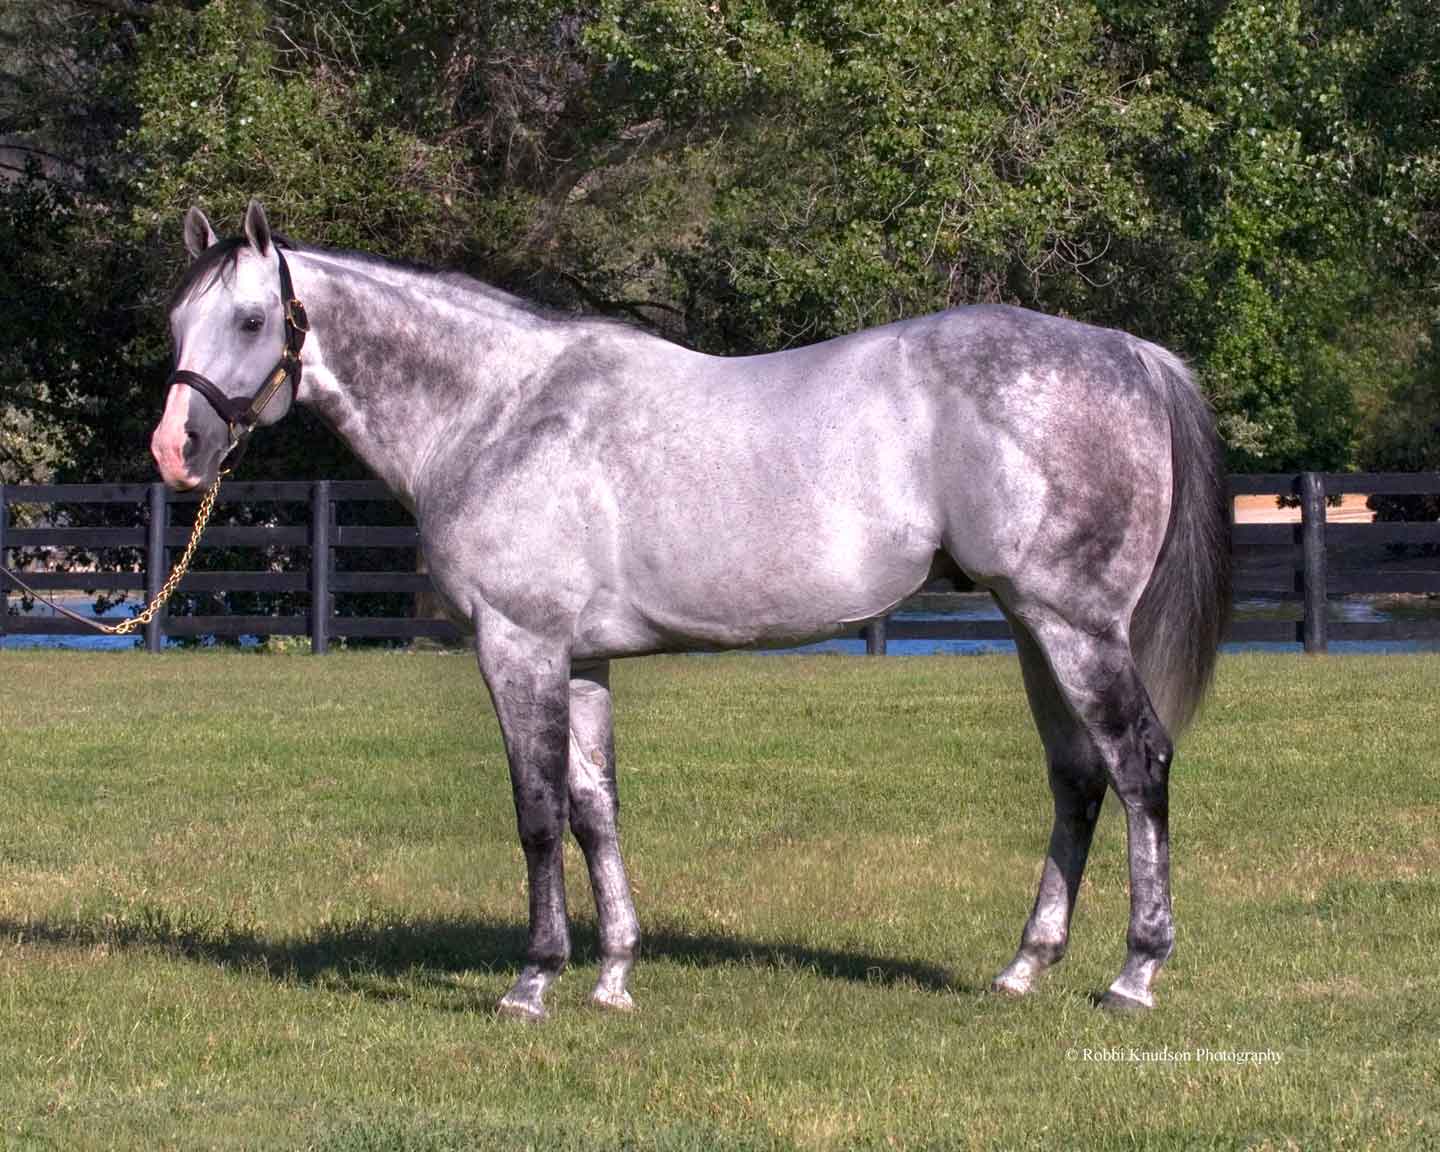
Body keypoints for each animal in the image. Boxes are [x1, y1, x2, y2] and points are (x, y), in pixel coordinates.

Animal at [150, 200, 1230, 1019]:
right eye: (175, 324)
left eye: (251, 321)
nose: (175, 450)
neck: (499, 410)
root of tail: (1125, 351)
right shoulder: (581, 659)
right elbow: (596, 809)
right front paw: (614, 976)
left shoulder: (518, 643)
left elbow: (538, 812)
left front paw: (534, 981)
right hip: (1031, 626)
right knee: (1077, 778)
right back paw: (1024, 967)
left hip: (1074, 626)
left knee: (1139, 764)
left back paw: (1135, 974)